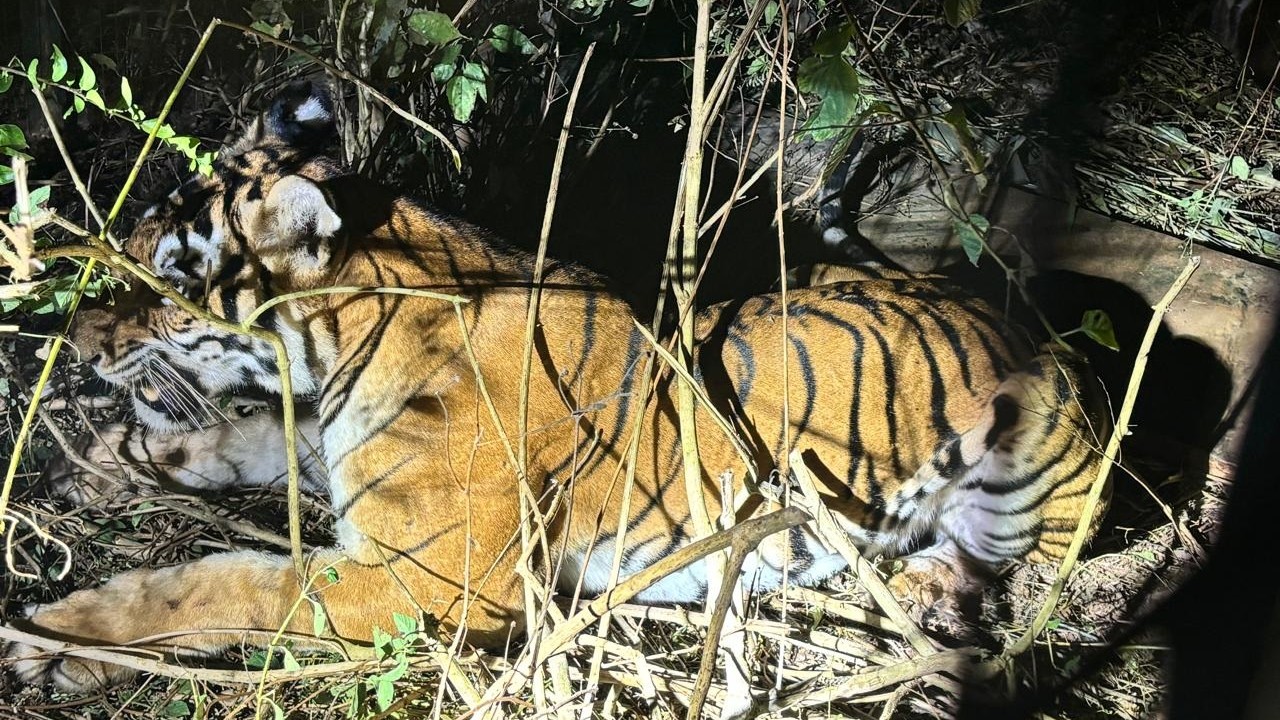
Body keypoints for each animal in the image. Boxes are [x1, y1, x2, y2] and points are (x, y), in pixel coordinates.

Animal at [6, 80, 1109, 691]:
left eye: (170, 276)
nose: (76, 337)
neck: (346, 349)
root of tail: (1012, 314)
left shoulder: (421, 583)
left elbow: (223, 582)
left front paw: (53, 642)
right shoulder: (337, 453)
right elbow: (247, 438)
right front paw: (110, 461)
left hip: (1025, 477)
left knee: (1031, 559)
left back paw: (925, 587)